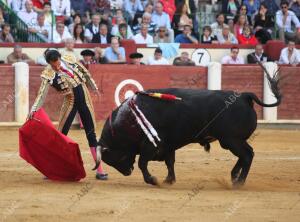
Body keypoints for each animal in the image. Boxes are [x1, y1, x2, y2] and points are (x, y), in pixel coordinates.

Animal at [93, 68, 282, 187]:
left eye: (113, 157)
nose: (127, 172)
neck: (129, 119)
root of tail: (244, 96)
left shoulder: (150, 145)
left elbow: (142, 163)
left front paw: (153, 180)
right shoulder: (167, 145)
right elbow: (170, 162)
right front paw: (169, 180)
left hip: (231, 139)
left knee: (247, 155)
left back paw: (239, 182)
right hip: (230, 141)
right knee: (245, 155)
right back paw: (234, 177)